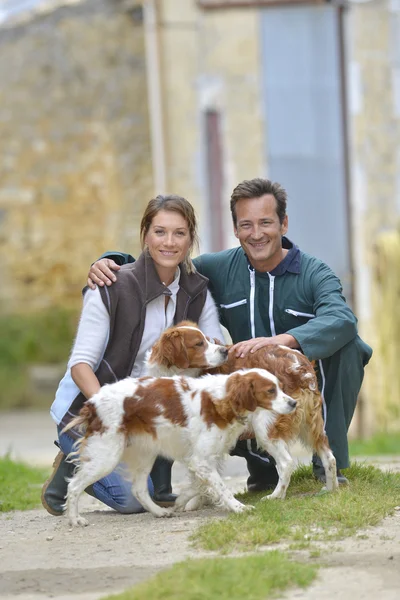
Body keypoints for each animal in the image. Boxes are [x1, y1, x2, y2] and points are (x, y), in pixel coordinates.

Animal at [61, 366, 294, 524]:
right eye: (270, 390)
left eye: (281, 387)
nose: (293, 402)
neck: (221, 399)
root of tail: (92, 403)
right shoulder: (201, 460)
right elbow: (221, 488)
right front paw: (239, 508)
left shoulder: (204, 458)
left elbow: (199, 485)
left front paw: (182, 501)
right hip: (106, 456)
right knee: (74, 485)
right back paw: (74, 519)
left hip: (145, 454)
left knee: (138, 489)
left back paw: (159, 512)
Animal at [145, 322, 340, 500]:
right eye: (199, 343)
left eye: (206, 340)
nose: (224, 351)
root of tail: (298, 364)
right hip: (311, 424)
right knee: (329, 457)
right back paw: (331, 489)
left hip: (265, 427)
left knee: (286, 463)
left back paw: (275, 496)